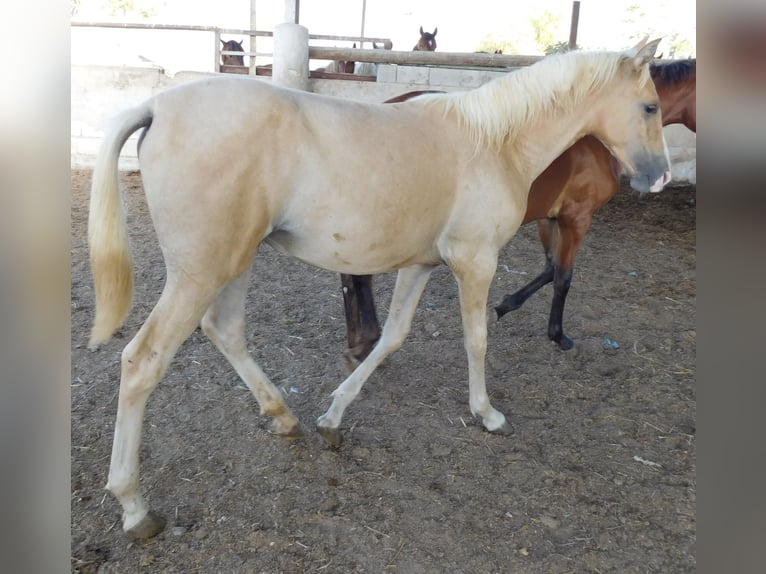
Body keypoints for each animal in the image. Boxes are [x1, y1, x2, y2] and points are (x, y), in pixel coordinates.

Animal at [342, 58, 696, 366]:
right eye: (650, 107)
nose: (661, 177)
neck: (594, 134)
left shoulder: (549, 217)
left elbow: (549, 268)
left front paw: (503, 306)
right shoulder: (577, 218)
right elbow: (563, 276)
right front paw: (558, 335)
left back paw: (357, 340)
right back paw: (367, 340)